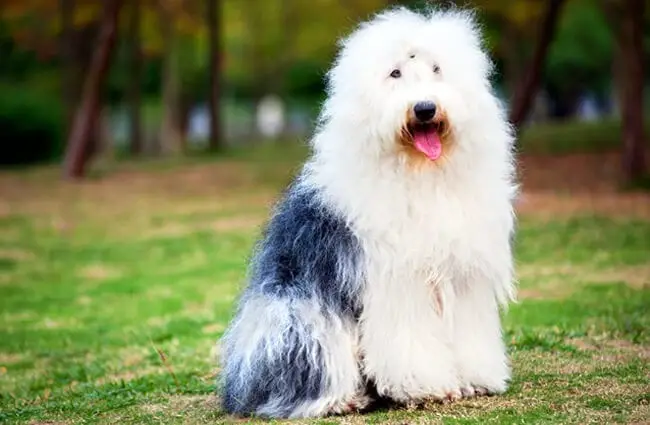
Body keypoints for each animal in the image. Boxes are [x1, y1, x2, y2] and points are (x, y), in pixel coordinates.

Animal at [218, 5, 516, 418]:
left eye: (437, 69)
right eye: (395, 74)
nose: (425, 108)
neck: (421, 173)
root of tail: (238, 389)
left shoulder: (464, 274)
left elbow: (470, 330)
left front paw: (475, 379)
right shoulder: (398, 278)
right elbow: (411, 339)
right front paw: (428, 387)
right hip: (298, 314)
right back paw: (344, 399)